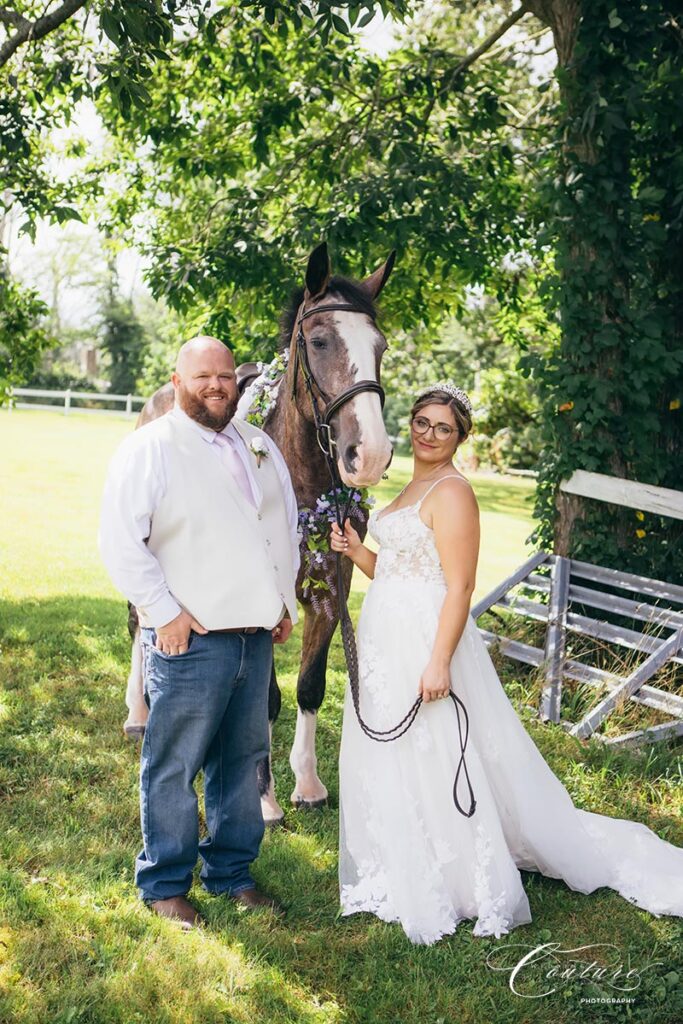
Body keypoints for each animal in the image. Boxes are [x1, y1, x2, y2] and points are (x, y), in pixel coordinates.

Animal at [122, 241, 395, 823]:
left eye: (380, 346)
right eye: (319, 341)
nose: (370, 454)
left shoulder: (331, 587)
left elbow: (310, 686)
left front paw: (308, 783)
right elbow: (266, 698)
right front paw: (264, 797)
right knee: (139, 621)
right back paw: (138, 712)